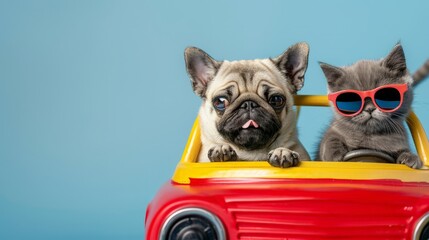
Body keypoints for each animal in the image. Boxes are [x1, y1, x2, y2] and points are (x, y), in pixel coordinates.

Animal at [182, 42, 310, 167]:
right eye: (220, 101)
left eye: (276, 100)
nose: (249, 104)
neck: (251, 154)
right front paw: (221, 148)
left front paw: (282, 151)